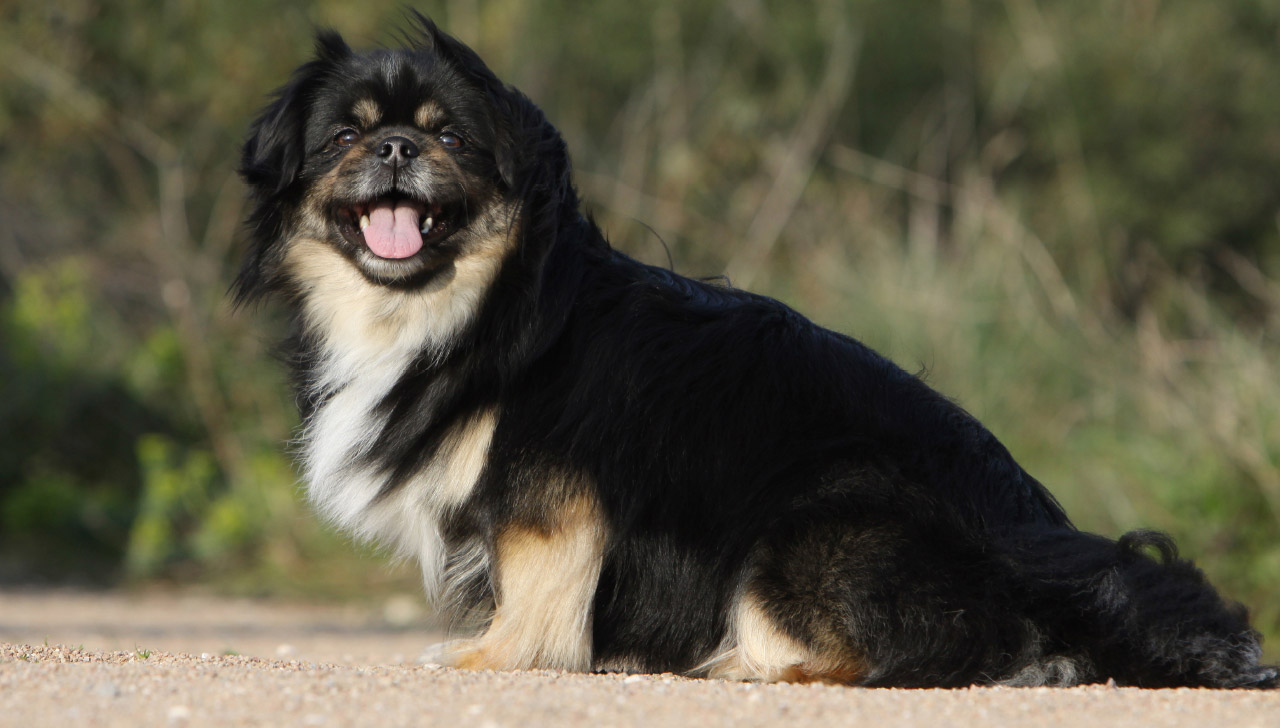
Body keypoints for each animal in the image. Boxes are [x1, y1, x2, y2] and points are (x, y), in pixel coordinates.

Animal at [235, 15, 1274, 685]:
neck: (470, 308)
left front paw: (490, 657)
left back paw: (743, 663)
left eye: (450, 136)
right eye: (344, 137)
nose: (397, 148)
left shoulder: (551, 489)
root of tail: (1045, 559)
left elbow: (537, 588)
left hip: (800, 533)